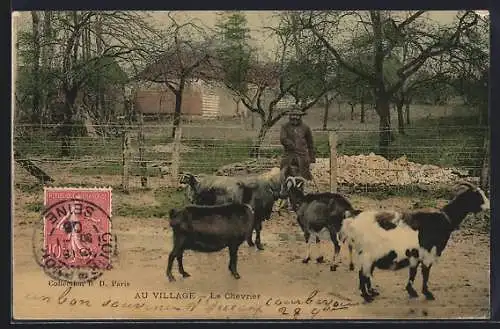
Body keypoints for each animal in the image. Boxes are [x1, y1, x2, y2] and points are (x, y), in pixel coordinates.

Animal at [338, 181, 490, 302]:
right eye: (477, 196)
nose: (489, 206)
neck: (443, 220)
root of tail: (352, 221)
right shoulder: (428, 253)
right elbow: (425, 274)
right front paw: (427, 294)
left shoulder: (414, 255)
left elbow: (413, 272)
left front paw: (412, 291)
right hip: (367, 254)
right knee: (362, 274)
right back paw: (367, 296)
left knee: (367, 273)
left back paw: (372, 292)